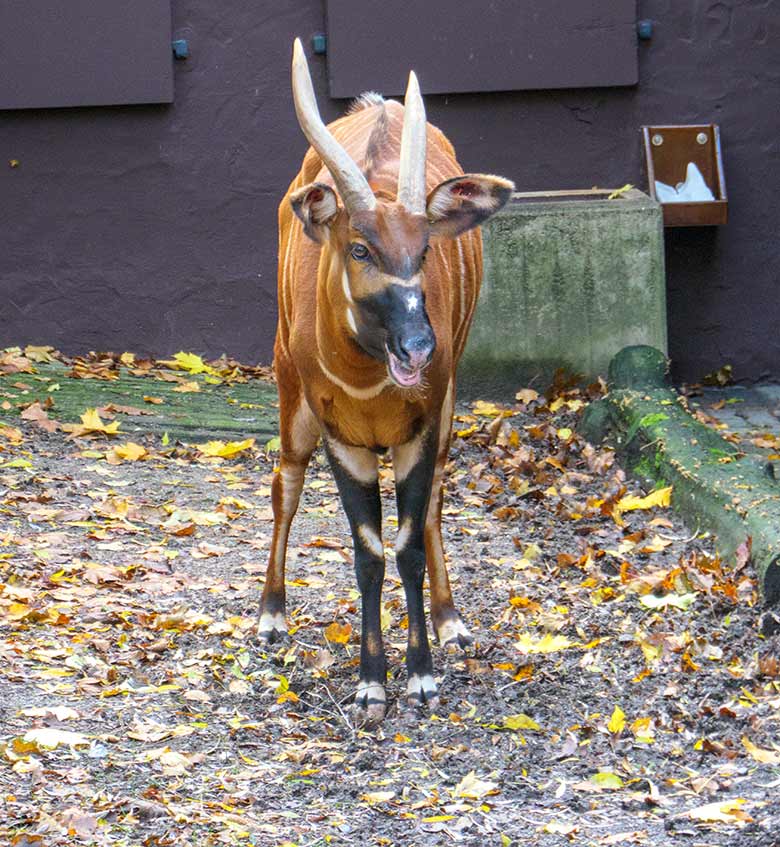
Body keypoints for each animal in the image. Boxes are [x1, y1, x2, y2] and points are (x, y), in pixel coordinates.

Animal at [262, 36, 516, 720]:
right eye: (359, 248)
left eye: (423, 250)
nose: (419, 346)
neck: (368, 383)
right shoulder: (341, 440)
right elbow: (367, 552)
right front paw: (371, 683)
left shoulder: (420, 431)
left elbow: (405, 545)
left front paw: (422, 673)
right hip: (290, 394)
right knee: (284, 482)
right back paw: (270, 616)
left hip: (446, 410)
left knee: (431, 508)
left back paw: (452, 621)